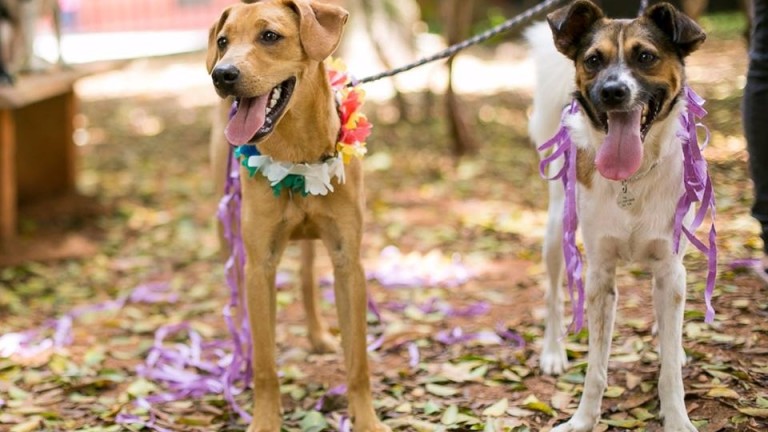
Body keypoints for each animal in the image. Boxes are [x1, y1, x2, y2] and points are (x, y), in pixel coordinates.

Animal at [206, 0, 390, 432]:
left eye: (270, 36)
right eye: (222, 41)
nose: (222, 74)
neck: (297, 151)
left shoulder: (348, 261)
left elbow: (358, 361)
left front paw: (367, 420)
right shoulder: (260, 265)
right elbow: (266, 366)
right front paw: (264, 421)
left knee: (306, 277)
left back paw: (318, 335)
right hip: (227, 230)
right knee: (240, 307)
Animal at [528, 1, 708, 430]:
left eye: (645, 57)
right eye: (594, 60)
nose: (613, 91)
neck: (632, 177)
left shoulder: (671, 266)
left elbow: (670, 367)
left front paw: (677, 418)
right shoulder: (600, 273)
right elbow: (595, 367)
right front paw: (582, 419)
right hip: (557, 229)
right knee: (553, 295)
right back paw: (553, 351)